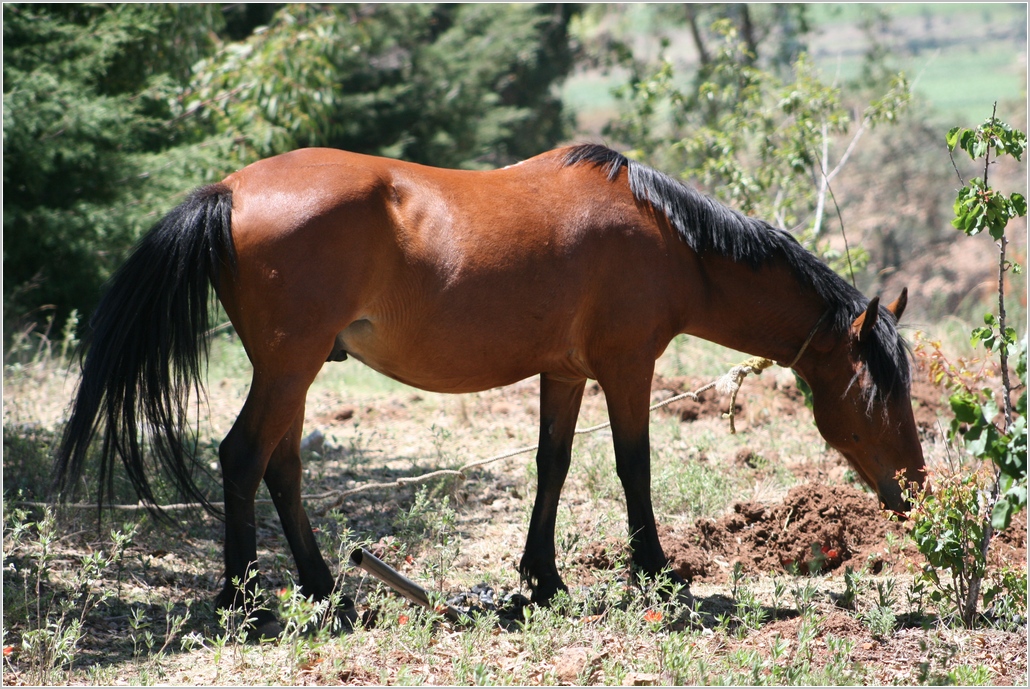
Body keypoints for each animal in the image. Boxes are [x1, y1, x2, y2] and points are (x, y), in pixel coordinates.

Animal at [56, 142, 927, 630]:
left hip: (296, 372)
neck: (668, 240)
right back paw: (248, 603)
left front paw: (540, 579)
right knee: (242, 458)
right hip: (287, 366)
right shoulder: (627, 365)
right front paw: (656, 570)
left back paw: (327, 588)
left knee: (281, 466)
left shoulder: (566, 371)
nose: (914, 489)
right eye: (881, 393)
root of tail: (230, 191)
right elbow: (633, 467)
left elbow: (552, 466)